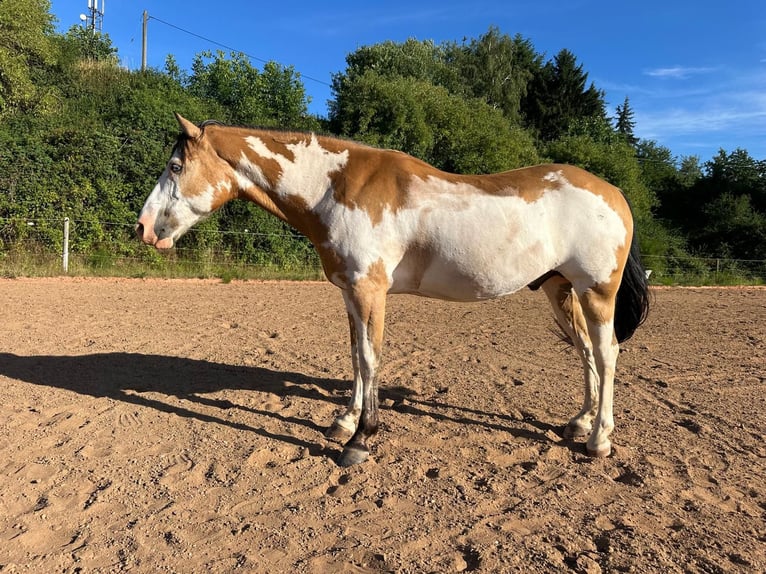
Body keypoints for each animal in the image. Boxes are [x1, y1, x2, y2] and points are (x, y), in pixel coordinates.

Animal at [136, 114, 650, 467]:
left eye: (176, 166)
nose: (143, 228)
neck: (335, 188)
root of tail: (615, 194)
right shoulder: (350, 293)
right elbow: (354, 356)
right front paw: (344, 421)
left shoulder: (370, 291)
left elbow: (370, 357)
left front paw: (361, 439)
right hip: (560, 290)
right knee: (586, 352)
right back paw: (579, 423)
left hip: (596, 292)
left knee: (606, 353)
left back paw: (599, 440)